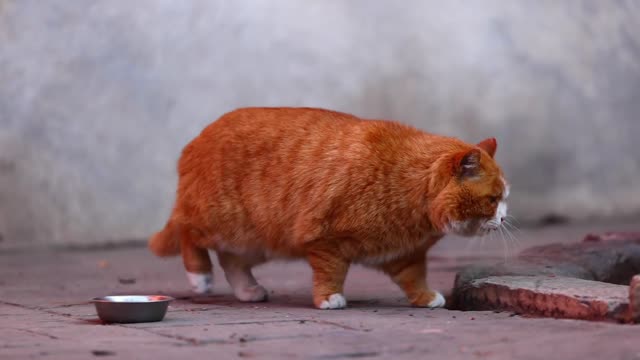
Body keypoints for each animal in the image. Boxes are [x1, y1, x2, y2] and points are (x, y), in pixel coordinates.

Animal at [150, 107, 510, 310]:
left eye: (504, 198)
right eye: (493, 200)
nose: (505, 216)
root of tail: (197, 139)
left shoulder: (404, 253)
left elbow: (414, 278)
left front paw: (424, 298)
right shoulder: (325, 240)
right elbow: (330, 273)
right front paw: (328, 298)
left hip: (257, 240)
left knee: (231, 260)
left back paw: (248, 290)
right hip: (220, 220)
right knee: (187, 234)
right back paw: (200, 278)